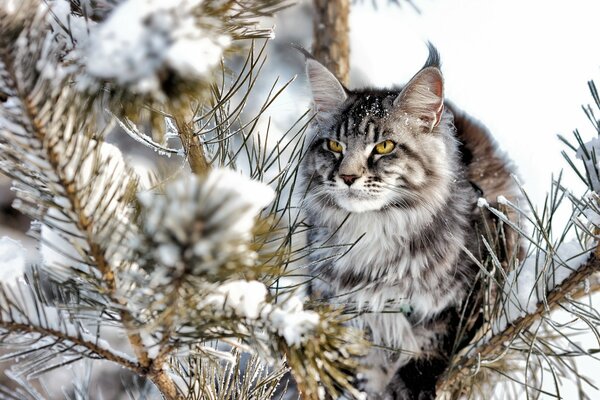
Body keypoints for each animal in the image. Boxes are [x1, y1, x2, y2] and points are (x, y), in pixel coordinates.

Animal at [300, 44, 520, 400]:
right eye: (334, 146)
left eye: (384, 146)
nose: (347, 177)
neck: (375, 234)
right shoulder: (343, 310)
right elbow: (353, 369)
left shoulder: (467, 297)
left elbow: (429, 352)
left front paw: (407, 387)